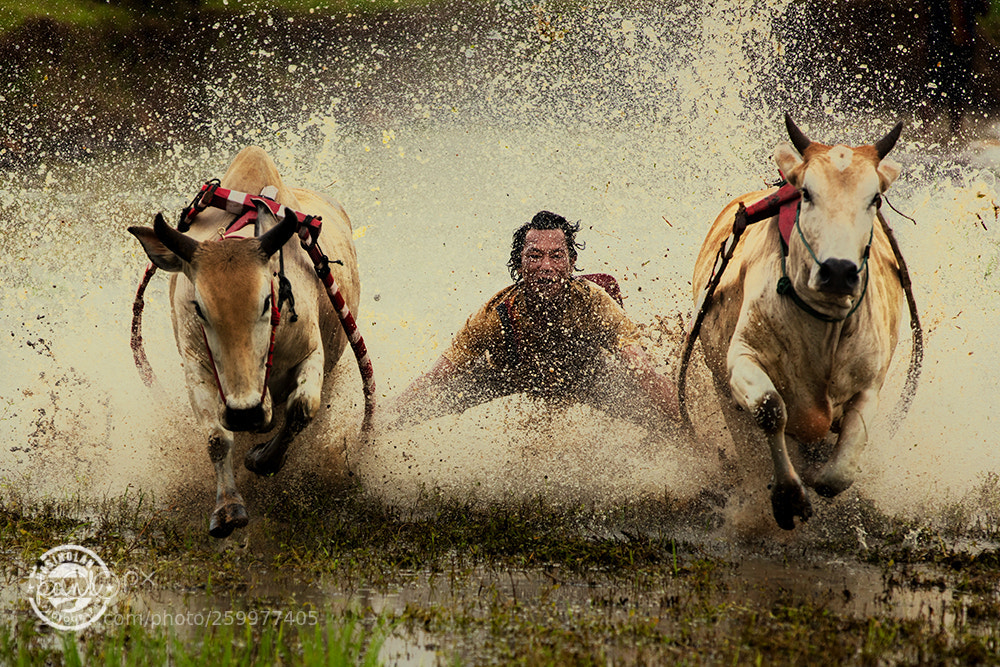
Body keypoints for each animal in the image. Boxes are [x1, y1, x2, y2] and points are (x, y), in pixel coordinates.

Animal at [128, 146, 360, 538]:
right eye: (199, 308)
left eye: (268, 301)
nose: (245, 413)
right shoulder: (197, 367)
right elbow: (216, 438)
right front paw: (227, 509)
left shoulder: (312, 353)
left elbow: (303, 409)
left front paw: (262, 460)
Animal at [690, 115, 905, 530]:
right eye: (806, 193)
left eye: (874, 198)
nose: (838, 272)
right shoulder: (742, 358)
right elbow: (770, 408)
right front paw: (788, 496)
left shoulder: (869, 386)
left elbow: (840, 472)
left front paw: (819, 476)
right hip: (722, 388)